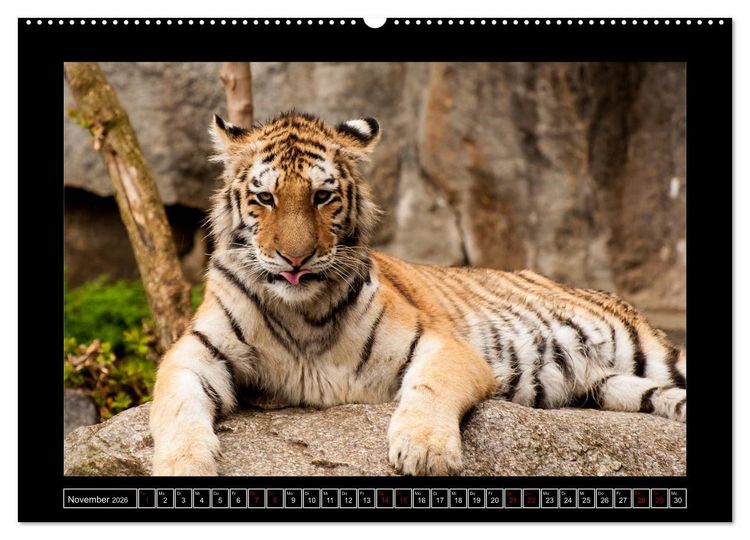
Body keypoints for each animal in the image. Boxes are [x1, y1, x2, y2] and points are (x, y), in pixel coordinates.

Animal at [149, 111, 687, 476]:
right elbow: (174, 407)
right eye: (265, 198)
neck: (303, 313)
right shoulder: (194, 353)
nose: (295, 259)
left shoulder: (443, 345)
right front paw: (184, 467)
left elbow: (429, 388)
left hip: (653, 353)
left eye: (323, 197)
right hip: (619, 386)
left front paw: (426, 451)